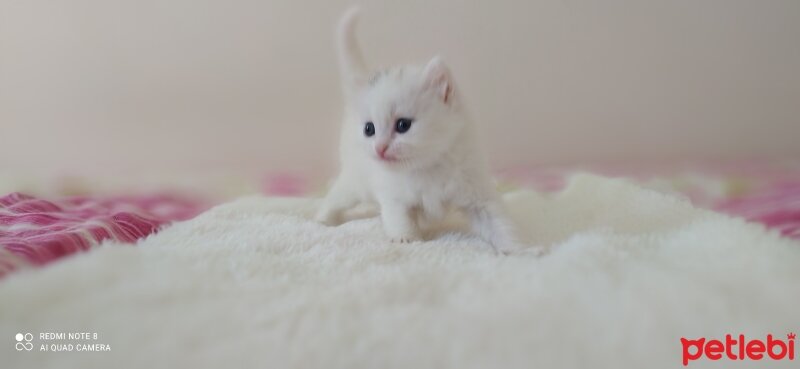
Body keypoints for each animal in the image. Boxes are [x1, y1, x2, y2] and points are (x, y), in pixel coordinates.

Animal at [316, 7, 520, 253]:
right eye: (369, 129)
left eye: (403, 125)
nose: (379, 148)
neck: (428, 166)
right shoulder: (393, 196)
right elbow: (399, 218)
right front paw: (407, 239)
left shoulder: (477, 190)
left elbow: (497, 221)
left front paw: (519, 250)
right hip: (355, 180)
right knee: (335, 197)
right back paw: (323, 220)